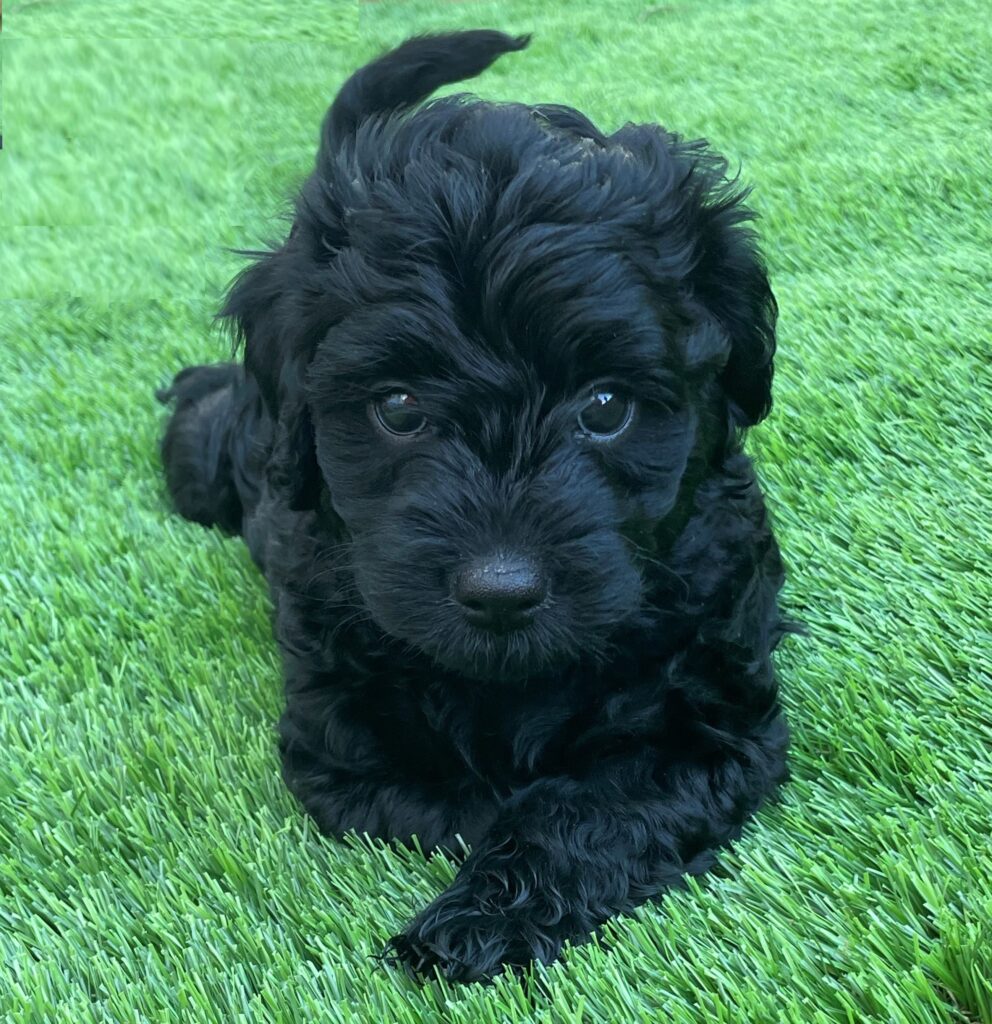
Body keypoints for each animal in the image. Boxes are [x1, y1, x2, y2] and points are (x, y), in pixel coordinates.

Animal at [158, 28, 794, 978]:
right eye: (398, 408)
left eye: (606, 406)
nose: (501, 591)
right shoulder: (339, 733)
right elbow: (441, 804)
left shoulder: (715, 718)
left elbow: (585, 807)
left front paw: (473, 924)